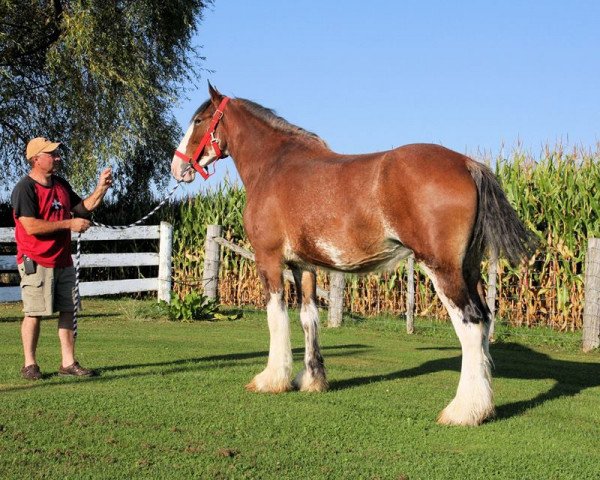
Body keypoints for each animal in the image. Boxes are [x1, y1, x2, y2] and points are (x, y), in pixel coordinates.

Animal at [171, 84, 536, 426]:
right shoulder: (305, 266)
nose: (177, 167)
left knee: (471, 324)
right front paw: (311, 379)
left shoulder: (269, 260)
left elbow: (276, 317)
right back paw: (483, 407)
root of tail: (467, 163)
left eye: (199, 120)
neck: (275, 167)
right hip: (469, 269)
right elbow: (308, 318)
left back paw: (463, 411)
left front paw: (271, 379)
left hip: (443, 270)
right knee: (485, 321)